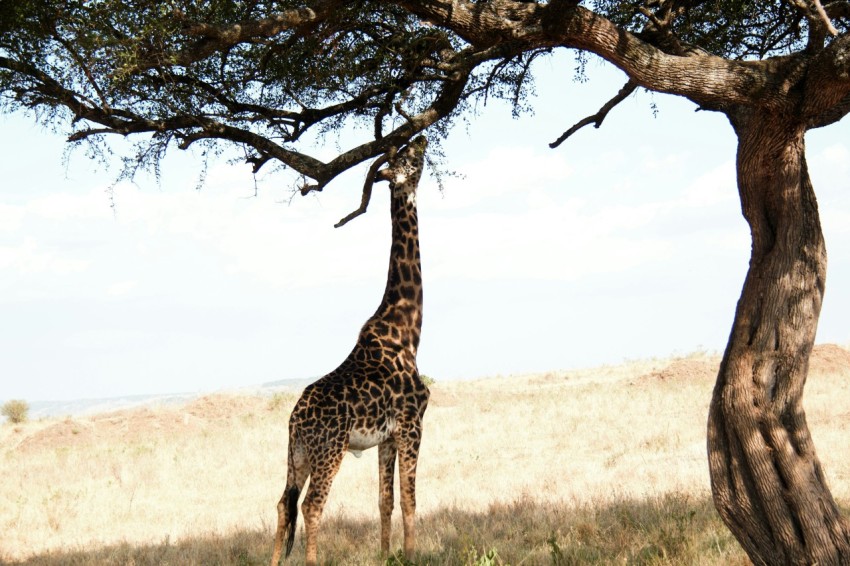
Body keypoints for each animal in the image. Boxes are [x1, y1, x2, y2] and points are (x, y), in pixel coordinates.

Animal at [270, 136, 430, 566]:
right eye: (408, 159)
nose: (422, 138)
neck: (407, 330)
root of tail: (295, 420)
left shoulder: (387, 437)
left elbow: (385, 501)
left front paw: (388, 554)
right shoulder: (412, 424)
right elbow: (410, 499)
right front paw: (413, 555)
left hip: (297, 455)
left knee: (283, 504)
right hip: (329, 450)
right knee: (311, 506)